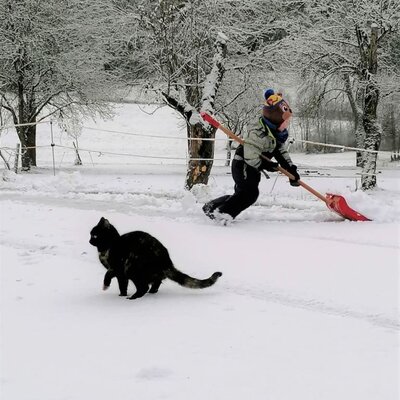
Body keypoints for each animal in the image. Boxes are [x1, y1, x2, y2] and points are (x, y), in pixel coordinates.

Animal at [89, 217, 223, 298]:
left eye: (94, 235)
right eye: (91, 235)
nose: (89, 241)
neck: (109, 245)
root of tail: (166, 260)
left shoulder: (117, 268)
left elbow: (109, 276)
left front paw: (109, 288)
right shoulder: (119, 273)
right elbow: (122, 285)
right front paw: (122, 295)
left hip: (131, 267)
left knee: (144, 287)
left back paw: (134, 297)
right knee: (157, 281)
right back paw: (152, 292)